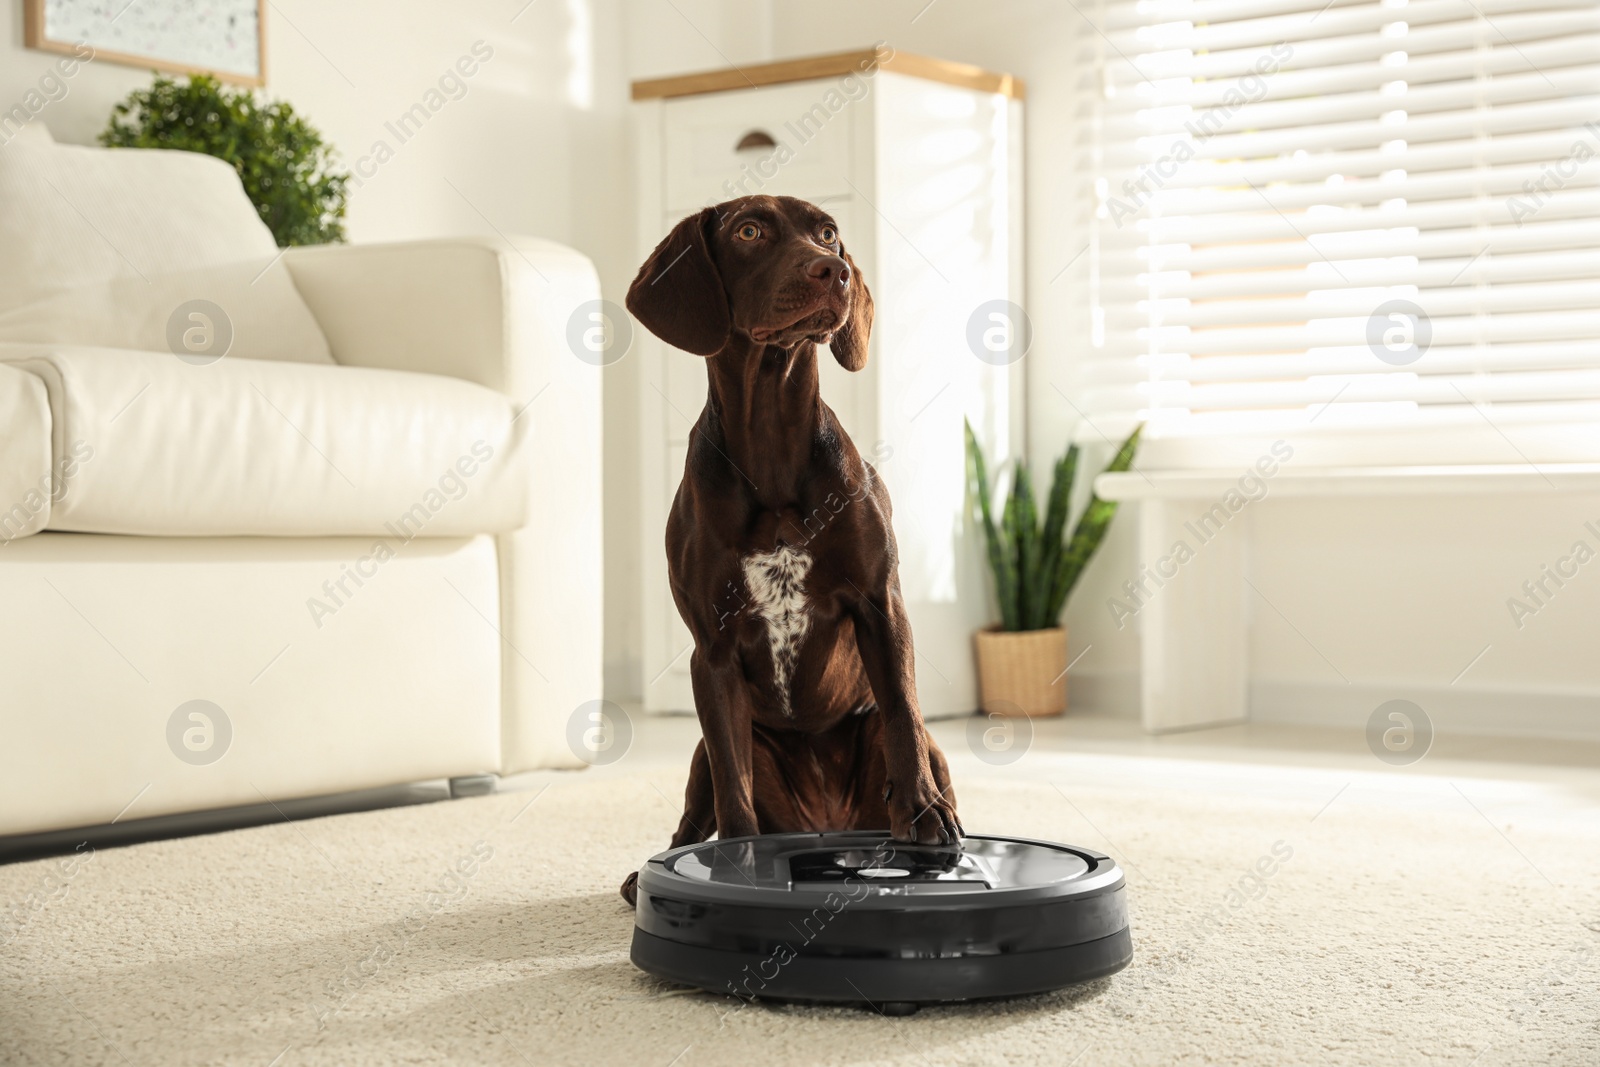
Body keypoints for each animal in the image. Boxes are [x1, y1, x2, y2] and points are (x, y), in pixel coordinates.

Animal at [620, 195, 953, 908]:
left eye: (828, 233)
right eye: (749, 231)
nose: (834, 271)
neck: (772, 441)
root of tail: (826, 824)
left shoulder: (881, 605)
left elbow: (903, 716)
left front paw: (923, 817)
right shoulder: (712, 651)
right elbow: (732, 784)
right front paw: (736, 862)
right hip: (709, 749)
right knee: (699, 806)